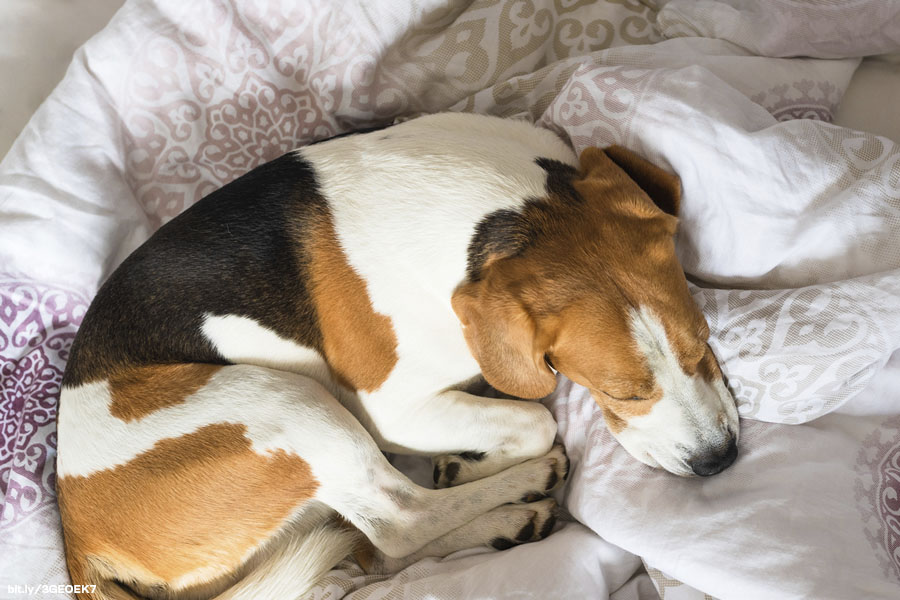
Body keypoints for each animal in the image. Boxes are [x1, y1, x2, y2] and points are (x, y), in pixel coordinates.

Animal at [58, 113, 740, 600]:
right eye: (625, 392)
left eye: (704, 341)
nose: (719, 461)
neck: (508, 211)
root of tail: (75, 528)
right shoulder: (391, 410)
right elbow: (535, 416)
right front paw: (489, 459)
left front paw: (468, 462)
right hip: (285, 404)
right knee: (400, 518)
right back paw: (521, 486)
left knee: (378, 544)